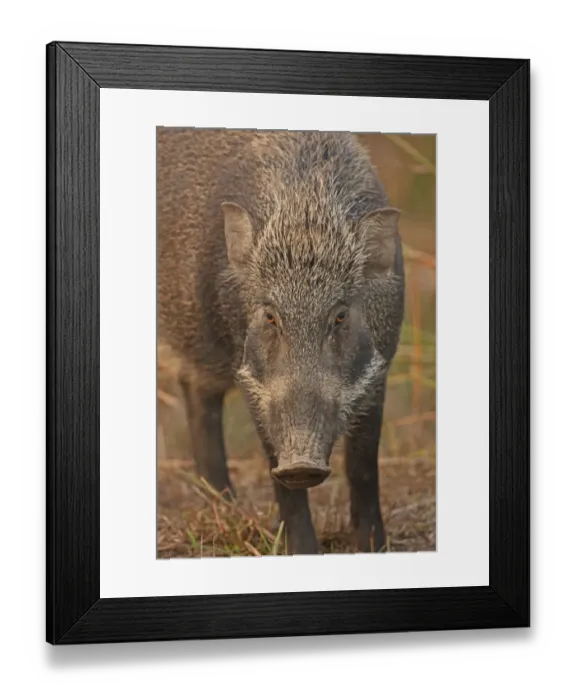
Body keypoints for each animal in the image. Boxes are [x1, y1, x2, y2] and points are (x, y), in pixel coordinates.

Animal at [157, 128, 405, 555]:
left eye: (340, 315)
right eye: (271, 315)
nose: (301, 464)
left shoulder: (379, 372)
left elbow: (363, 465)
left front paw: (376, 548)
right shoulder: (253, 382)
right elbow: (279, 474)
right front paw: (304, 552)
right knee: (196, 391)